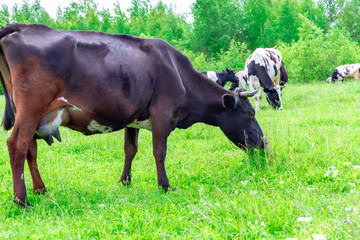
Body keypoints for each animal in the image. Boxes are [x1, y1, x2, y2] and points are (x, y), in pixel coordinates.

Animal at [0, 23, 264, 207]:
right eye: (250, 114)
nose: (263, 143)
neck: (177, 71)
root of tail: (22, 26)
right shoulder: (162, 112)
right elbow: (159, 151)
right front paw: (165, 185)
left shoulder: (133, 117)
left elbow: (130, 149)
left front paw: (125, 181)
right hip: (32, 107)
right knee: (17, 145)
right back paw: (22, 200)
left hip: (30, 113)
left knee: (31, 149)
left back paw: (40, 189)